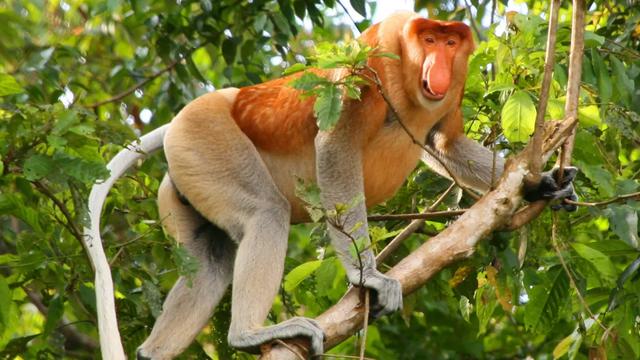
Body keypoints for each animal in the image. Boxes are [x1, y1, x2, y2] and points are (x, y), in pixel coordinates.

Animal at [82, 11, 576, 360]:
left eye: (452, 42)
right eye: (429, 40)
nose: (439, 62)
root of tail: (183, 120)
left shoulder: (453, 90)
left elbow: (445, 143)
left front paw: (543, 184)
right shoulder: (370, 63)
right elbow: (336, 148)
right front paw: (368, 276)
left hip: (186, 174)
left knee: (209, 259)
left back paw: (153, 351)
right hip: (206, 138)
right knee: (265, 213)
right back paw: (249, 335)